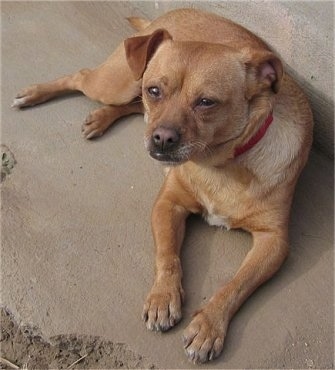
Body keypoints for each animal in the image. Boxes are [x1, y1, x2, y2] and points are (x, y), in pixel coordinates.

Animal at [11, 9, 314, 364]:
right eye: (155, 91)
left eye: (207, 102)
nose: (162, 138)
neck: (221, 165)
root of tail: (170, 14)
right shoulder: (168, 203)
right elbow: (168, 255)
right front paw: (162, 298)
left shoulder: (274, 242)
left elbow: (235, 285)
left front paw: (208, 326)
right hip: (117, 83)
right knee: (84, 77)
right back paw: (35, 94)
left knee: (133, 108)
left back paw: (101, 118)